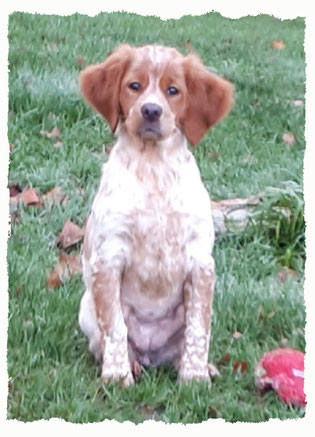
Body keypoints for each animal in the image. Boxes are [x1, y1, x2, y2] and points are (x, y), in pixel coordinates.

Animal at [78, 43, 233, 384]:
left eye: (173, 90)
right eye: (134, 86)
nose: (151, 110)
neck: (153, 168)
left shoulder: (201, 263)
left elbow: (198, 328)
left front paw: (194, 378)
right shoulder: (109, 257)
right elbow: (115, 327)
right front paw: (117, 376)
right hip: (85, 308)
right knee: (105, 340)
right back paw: (132, 364)